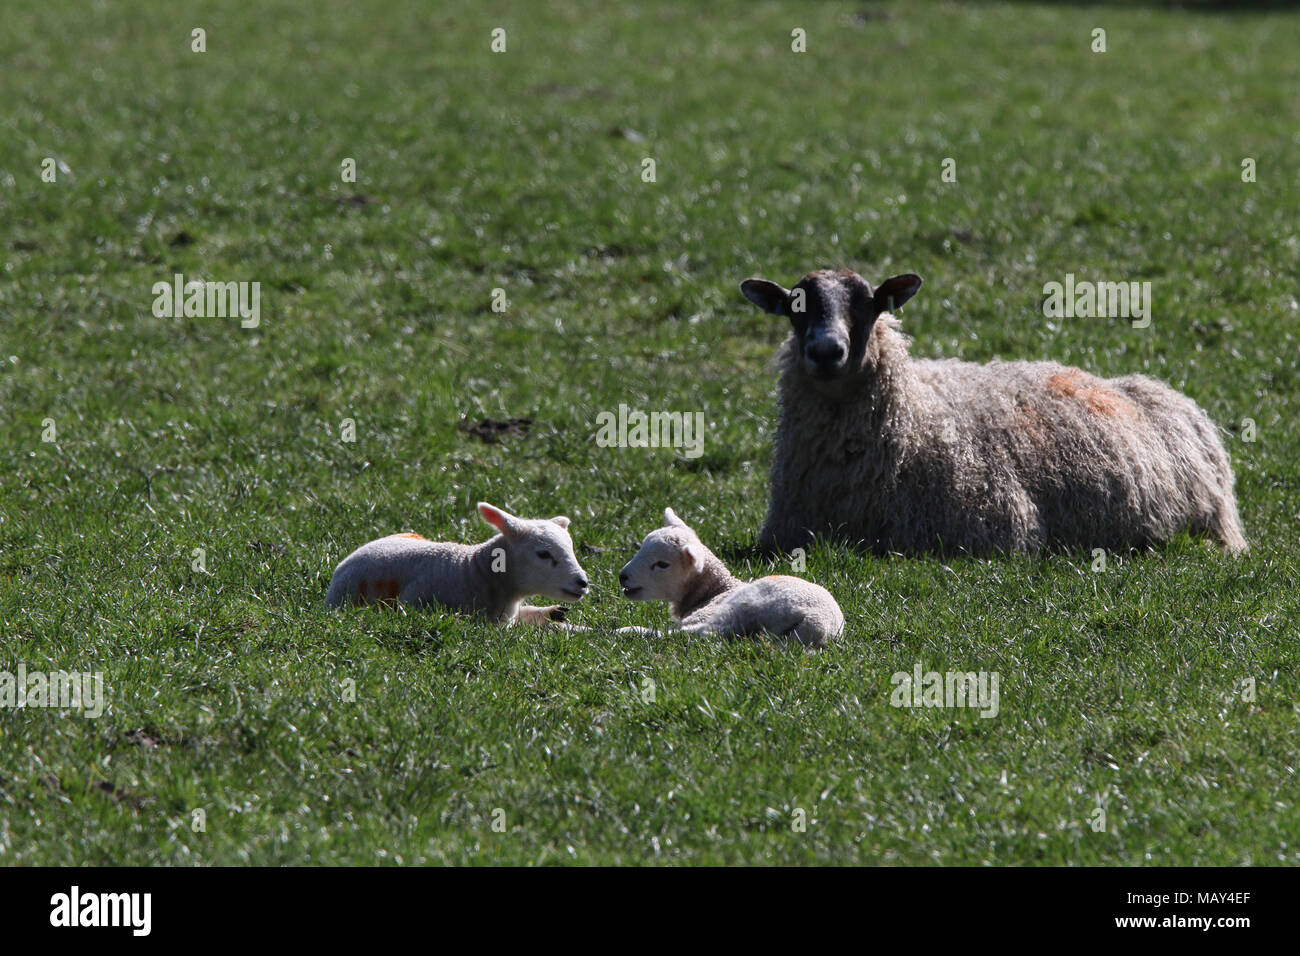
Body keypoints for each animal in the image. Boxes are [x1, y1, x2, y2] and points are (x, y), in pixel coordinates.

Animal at [616, 509, 842, 650]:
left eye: (662, 564)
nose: (622, 576)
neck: (715, 590)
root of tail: (818, 625)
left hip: (745, 606)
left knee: (704, 633)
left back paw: (629, 632)